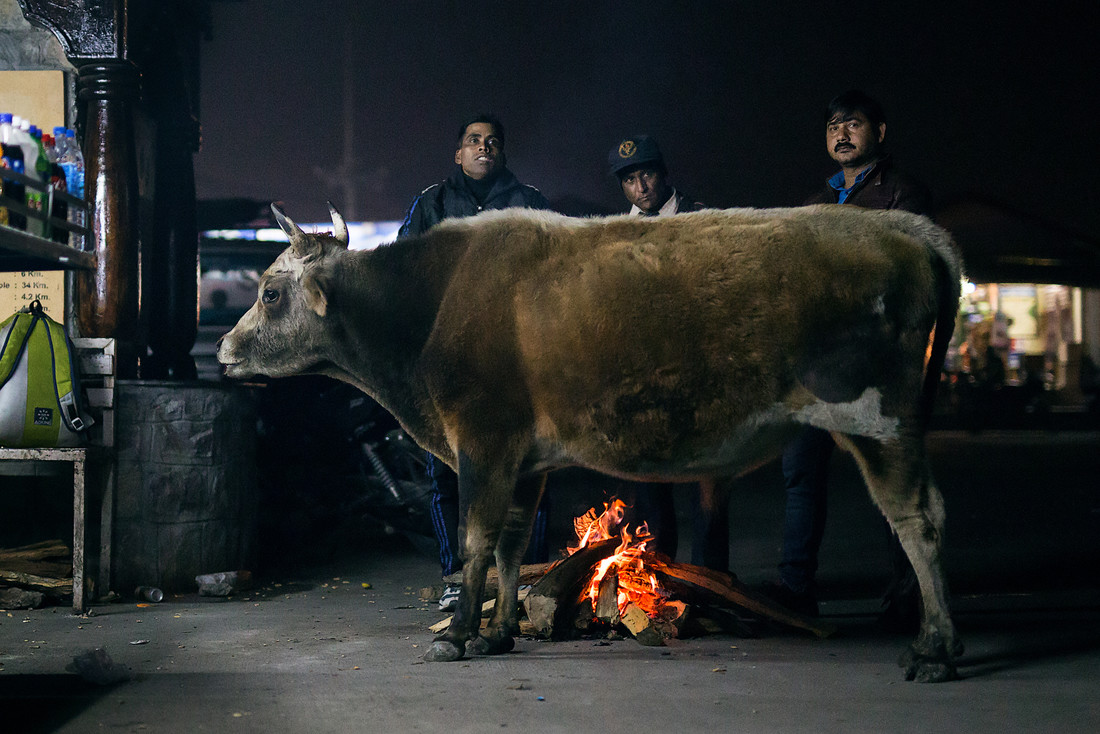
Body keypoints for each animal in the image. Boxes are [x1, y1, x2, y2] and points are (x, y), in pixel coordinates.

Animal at [218, 202, 968, 682]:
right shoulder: (523, 459)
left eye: (269, 291)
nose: (223, 348)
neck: (423, 308)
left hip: (874, 418)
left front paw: (458, 637)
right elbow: (512, 542)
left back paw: (936, 645)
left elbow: (474, 539)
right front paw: (499, 632)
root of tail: (898, 225)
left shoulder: (483, 440)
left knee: (919, 519)